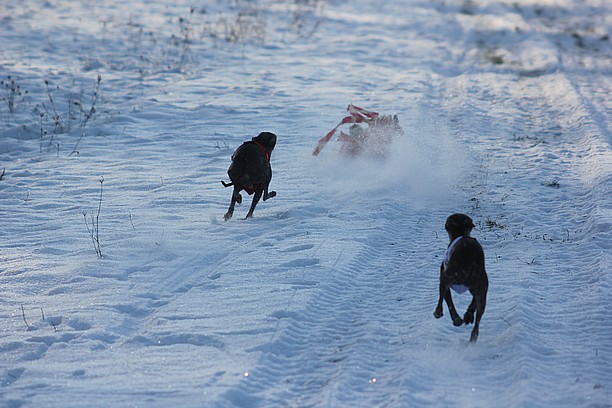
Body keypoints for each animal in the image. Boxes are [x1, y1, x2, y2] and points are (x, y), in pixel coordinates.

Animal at [432, 212, 490, 342]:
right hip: (482, 288)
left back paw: (438, 312)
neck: (460, 234)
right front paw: (467, 315)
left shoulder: (444, 277)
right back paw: (472, 333)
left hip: (447, 276)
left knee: (441, 297)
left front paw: (457, 320)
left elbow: (448, 301)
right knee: (478, 320)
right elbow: (473, 303)